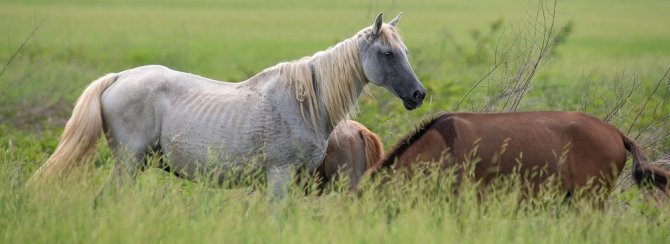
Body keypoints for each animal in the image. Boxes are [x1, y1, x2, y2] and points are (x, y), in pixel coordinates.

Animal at [30, 12, 426, 197]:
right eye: (388, 54)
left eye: (406, 51)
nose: (418, 95)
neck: (304, 105)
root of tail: (118, 77)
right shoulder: (280, 175)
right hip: (128, 163)